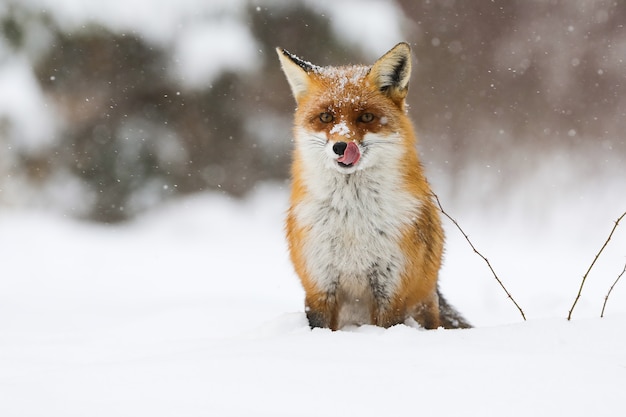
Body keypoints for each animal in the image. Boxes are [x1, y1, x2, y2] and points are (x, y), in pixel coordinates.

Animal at [278, 42, 468, 328]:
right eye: (326, 117)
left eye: (366, 117)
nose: (341, 146)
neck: (352, 219)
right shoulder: (319, 284)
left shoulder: (392, 288)